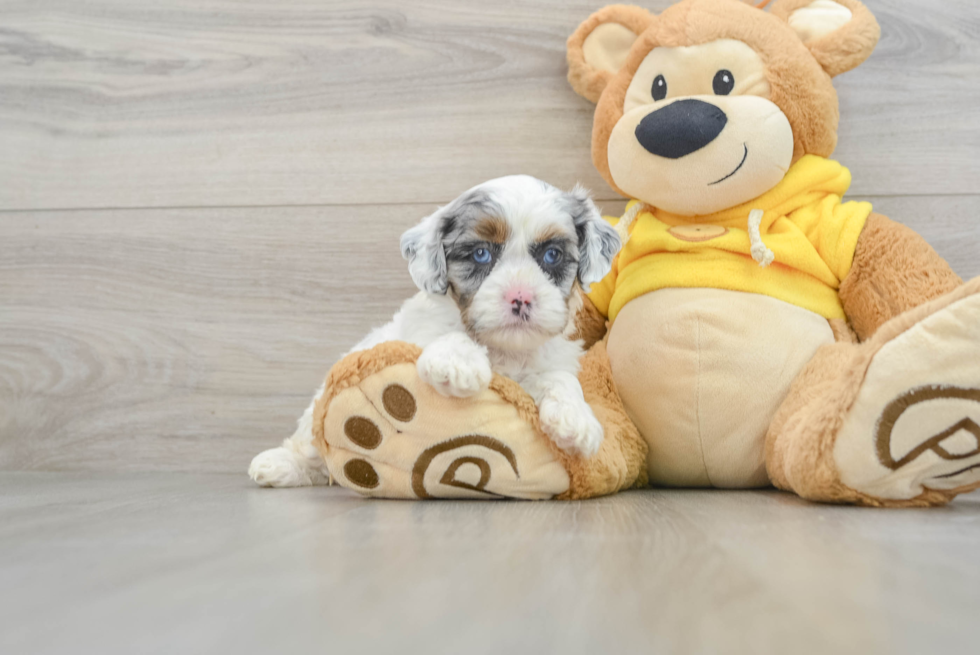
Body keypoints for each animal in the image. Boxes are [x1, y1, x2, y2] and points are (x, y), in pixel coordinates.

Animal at [253, 177, 620, 490]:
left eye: (552, 255)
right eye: (481, 253)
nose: (521, 297)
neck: (502, 348)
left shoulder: (547, 362)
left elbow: (560, 379)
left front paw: (576, 420)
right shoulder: (413, 337)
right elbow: (448, 336)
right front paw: (459, 365)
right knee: (311, 446)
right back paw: (278, 465)